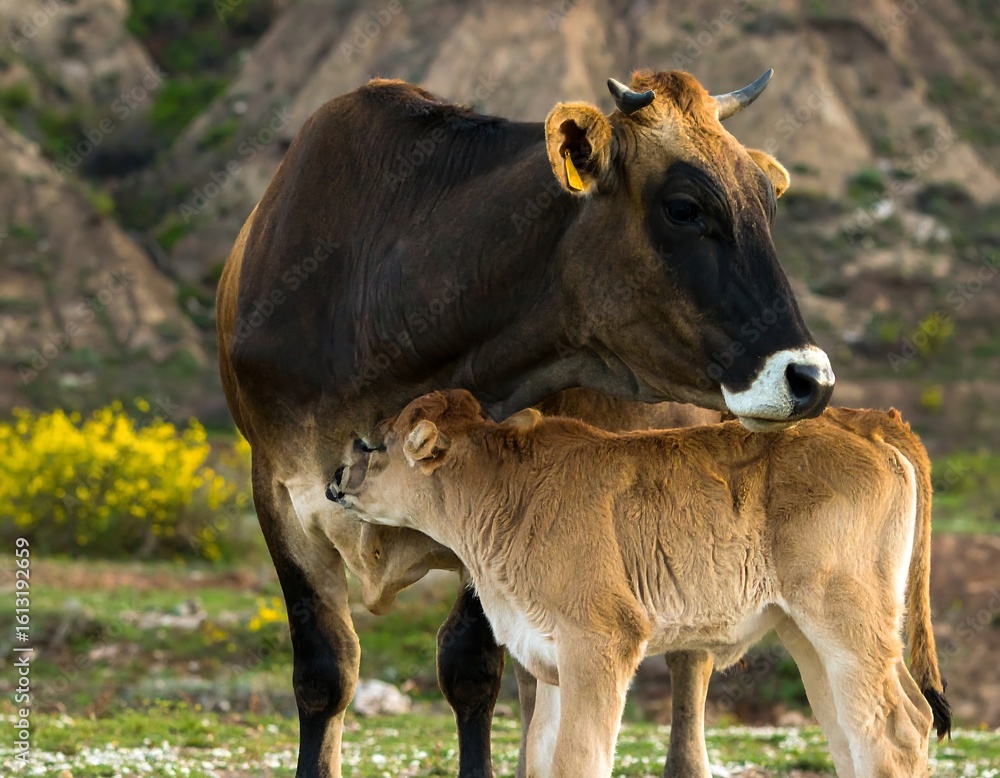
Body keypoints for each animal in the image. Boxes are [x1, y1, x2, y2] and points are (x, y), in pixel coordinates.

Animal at [216, 68, 835, 777]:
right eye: (684, 208)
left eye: (767, 203)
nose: (809, 377)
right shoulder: (278, 490)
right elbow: (324, 670)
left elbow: (468, 666)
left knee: (689, 661)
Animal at [329, 389, 952, 778]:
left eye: (373, 445)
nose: (334, 479)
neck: (506, 496)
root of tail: (866, 418)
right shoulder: (549, 653)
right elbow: (541, 757)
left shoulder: (601, 639)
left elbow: (579, 760)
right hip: (817, 634)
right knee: (870, 728)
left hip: (844, 619)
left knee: (894, 732)